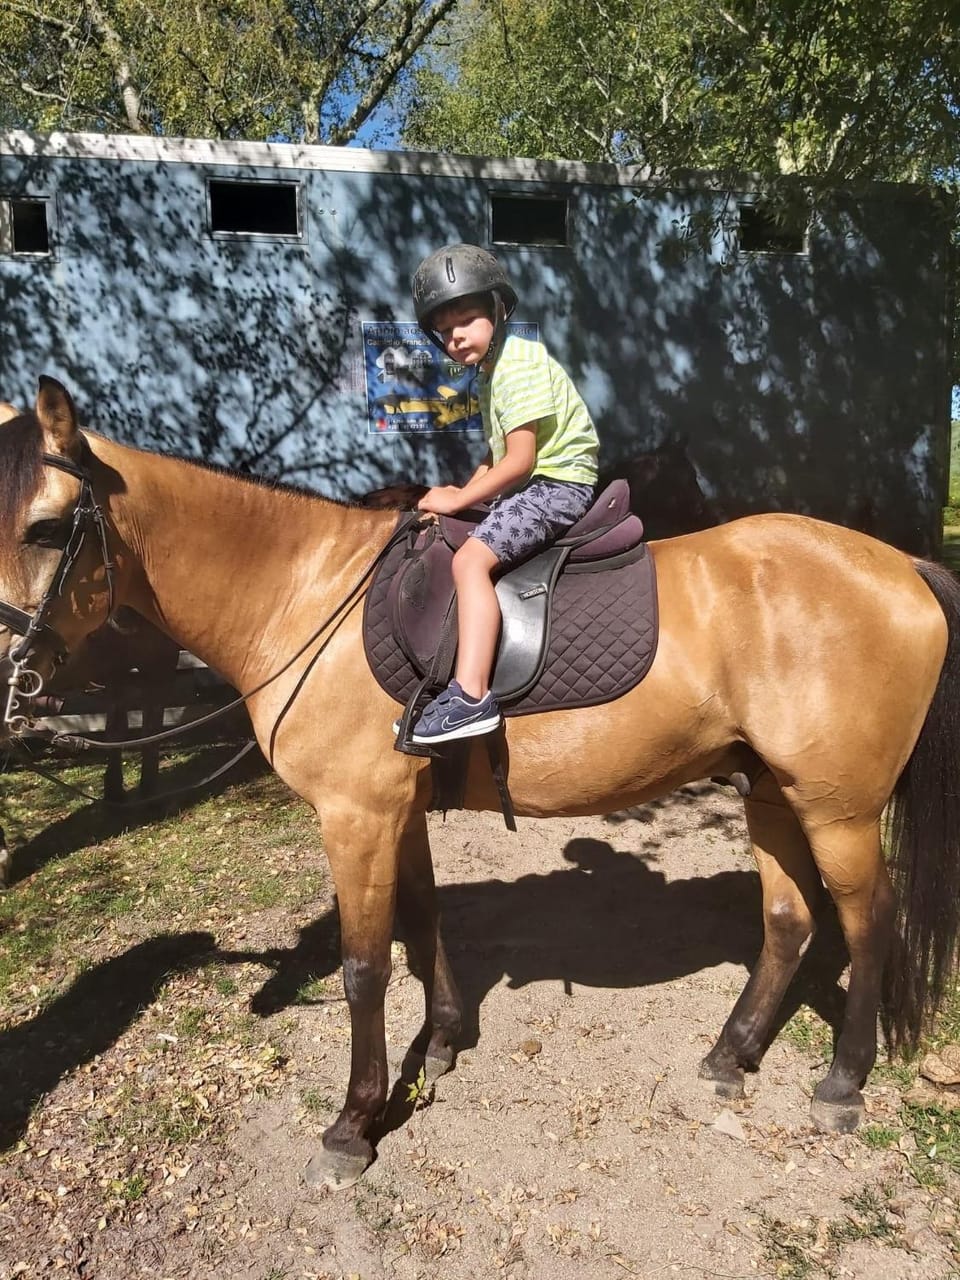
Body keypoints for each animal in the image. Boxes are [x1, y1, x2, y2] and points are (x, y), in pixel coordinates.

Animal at [1, 375, 959, 1191]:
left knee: (866, 924)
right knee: (790, 922)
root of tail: (900, 566)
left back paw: (841, 1083)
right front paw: (445, 1041)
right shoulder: (398, 812)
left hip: (838, 808)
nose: (12, 676)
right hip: (771, 792)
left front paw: (353, 1125)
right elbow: (424, 923)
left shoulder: (356, 817)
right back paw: (732, 1055)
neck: (302, 594)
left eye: (46, 529)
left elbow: (364, 967)